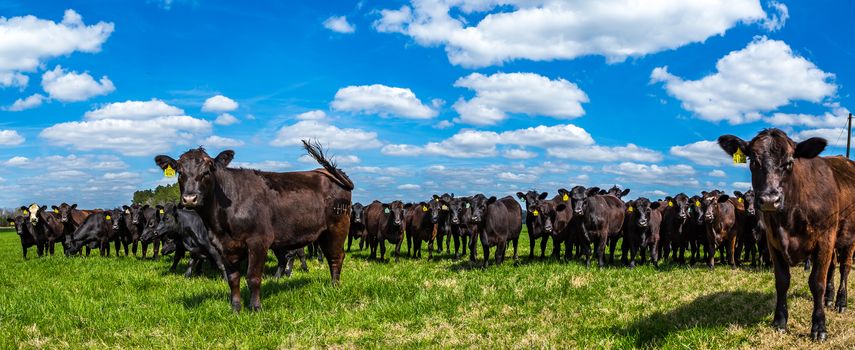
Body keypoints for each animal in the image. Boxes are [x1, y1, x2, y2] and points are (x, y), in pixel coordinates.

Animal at [155, 142, 352, 312]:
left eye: (207, 171)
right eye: (180, 172)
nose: (190, 199)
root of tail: (328, 172)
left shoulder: (258, 241)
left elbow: (253, 277)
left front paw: (255, 307)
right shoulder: (222, 246)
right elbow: (233, 278)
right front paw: (236, 308)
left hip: (338, 226)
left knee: (336, 257)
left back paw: (335, 287)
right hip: (323, 232)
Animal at [720, 129, 852, 340]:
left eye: (789, 162)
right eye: (753, 161)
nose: (769, 200)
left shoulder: (825, 240)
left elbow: (817, 282)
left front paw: (819, 326)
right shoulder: (773, 242)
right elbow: (782, 282)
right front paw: (780, 321)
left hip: (848, 238)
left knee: (844, 268)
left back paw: (841, 302)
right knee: (832, 267)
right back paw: (829, 299)